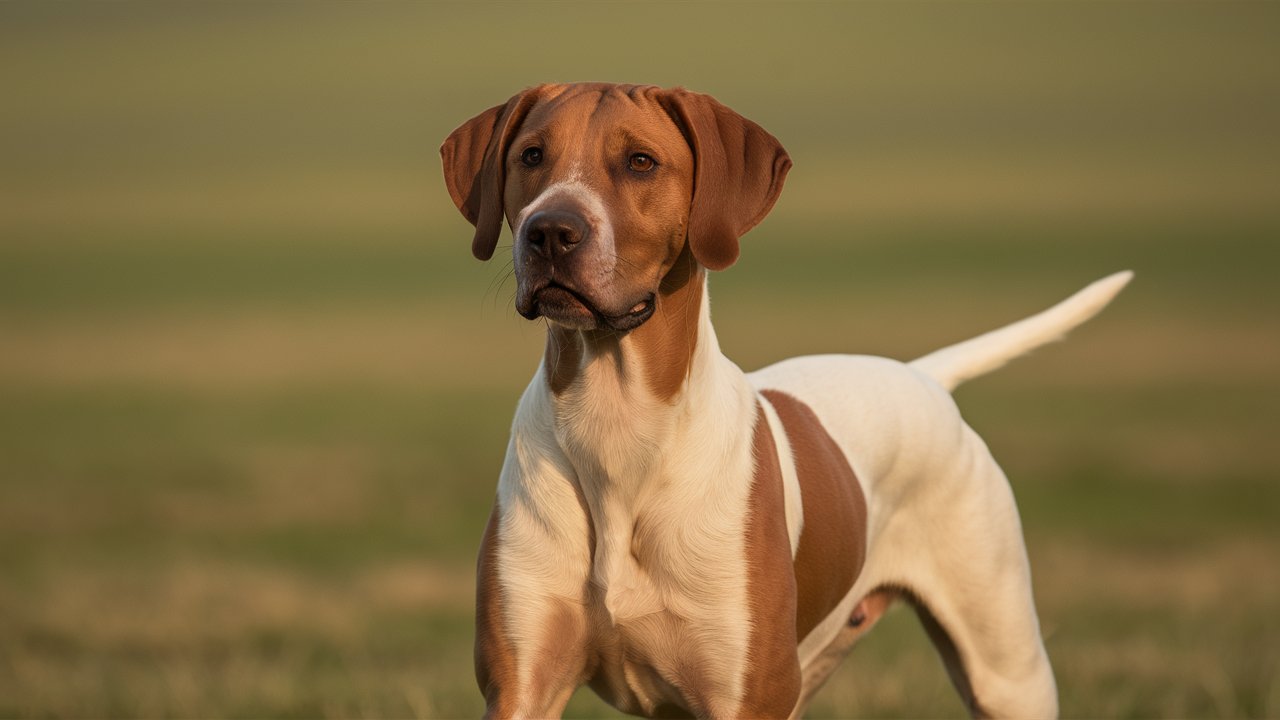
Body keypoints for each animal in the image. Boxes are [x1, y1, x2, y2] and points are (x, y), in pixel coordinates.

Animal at [440, 82, 1131, 712]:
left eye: (640, 162)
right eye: (531, 156)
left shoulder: (744, 693)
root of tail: (923, 376)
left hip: (1005, 667)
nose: (549, 231)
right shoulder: (522, 685)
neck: (617, 424)